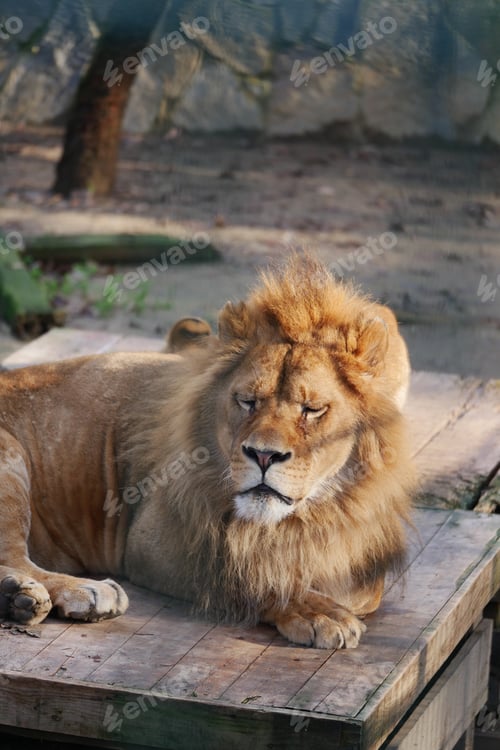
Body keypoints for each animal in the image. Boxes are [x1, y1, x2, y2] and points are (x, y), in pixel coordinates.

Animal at [0, 256, 415, 648]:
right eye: (247, 401)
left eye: (311, 409)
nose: (263, 456)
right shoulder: (153, 542)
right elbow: (247, 577)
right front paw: (318, 612)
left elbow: (362, 587)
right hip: (10, 460)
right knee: (15, 555)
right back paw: (75, 592)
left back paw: (16, 598)